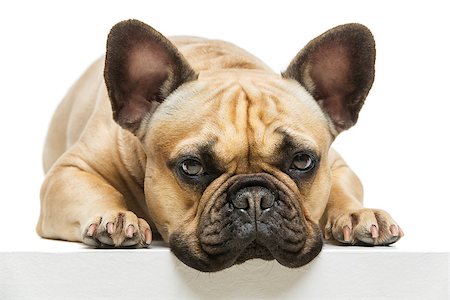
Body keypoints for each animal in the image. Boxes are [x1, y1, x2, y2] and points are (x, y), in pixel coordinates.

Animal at [37, 18, 402, 272]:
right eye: (192, 166)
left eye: (302, 161)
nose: (254, 198)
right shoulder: (68, 172)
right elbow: (98, 189)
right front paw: (115, 217)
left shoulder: (337, 164)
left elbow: (342, 188)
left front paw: (358, 214)